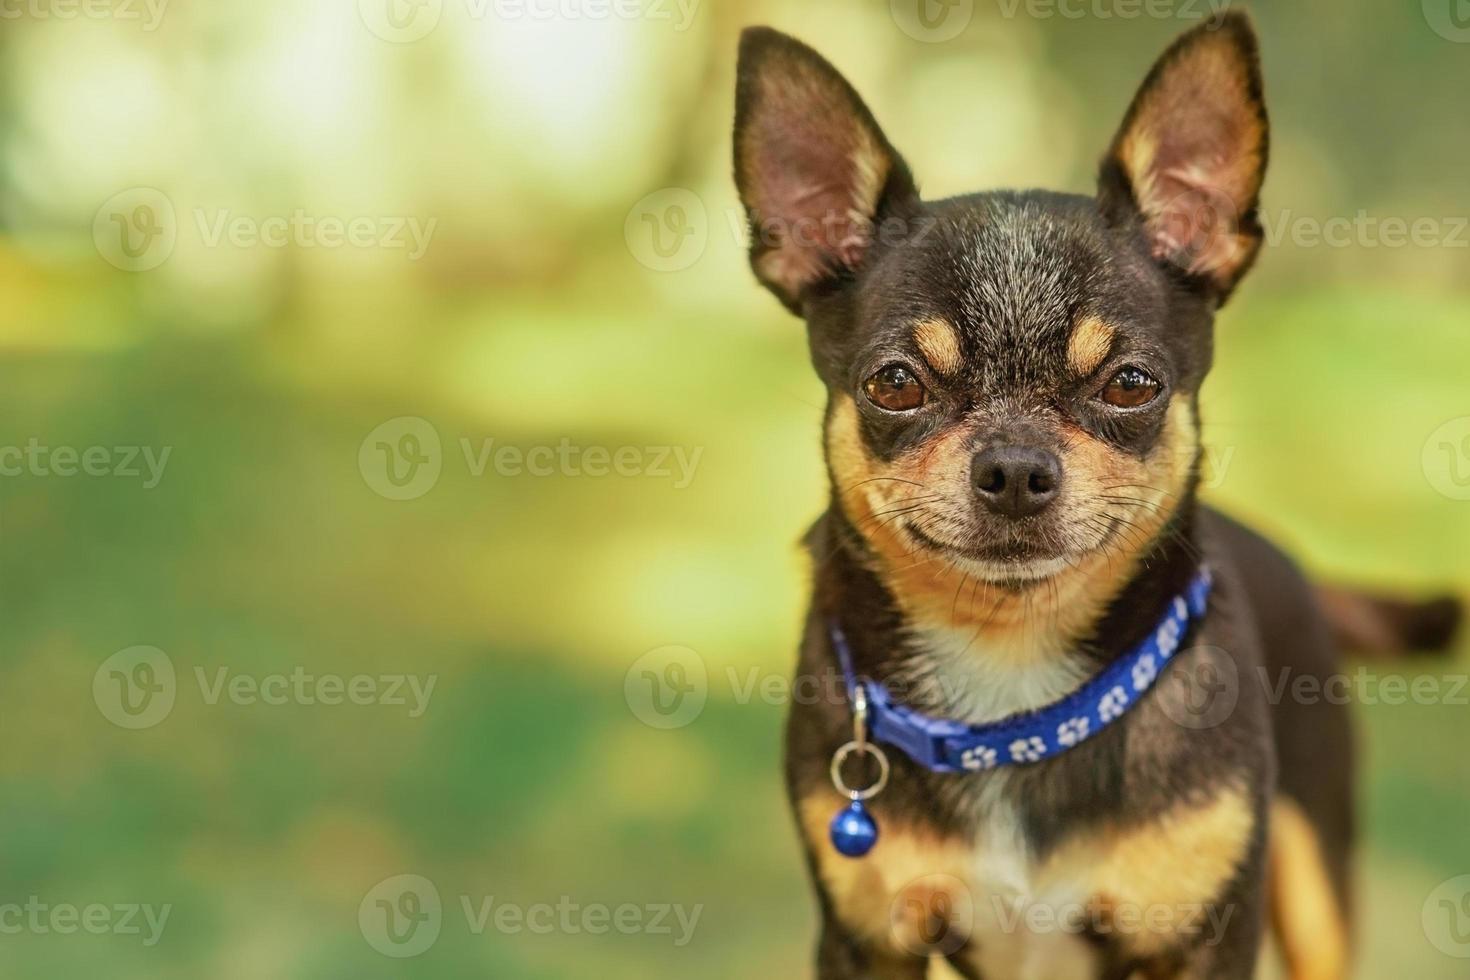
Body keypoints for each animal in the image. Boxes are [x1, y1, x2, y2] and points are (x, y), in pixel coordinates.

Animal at [735, 15, 1458, 980]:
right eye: (894, 384)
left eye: (1130, 384)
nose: (1013, 468)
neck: (1010, 692)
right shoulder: (868, 941)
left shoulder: (1205, 941)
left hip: (1316, 889)